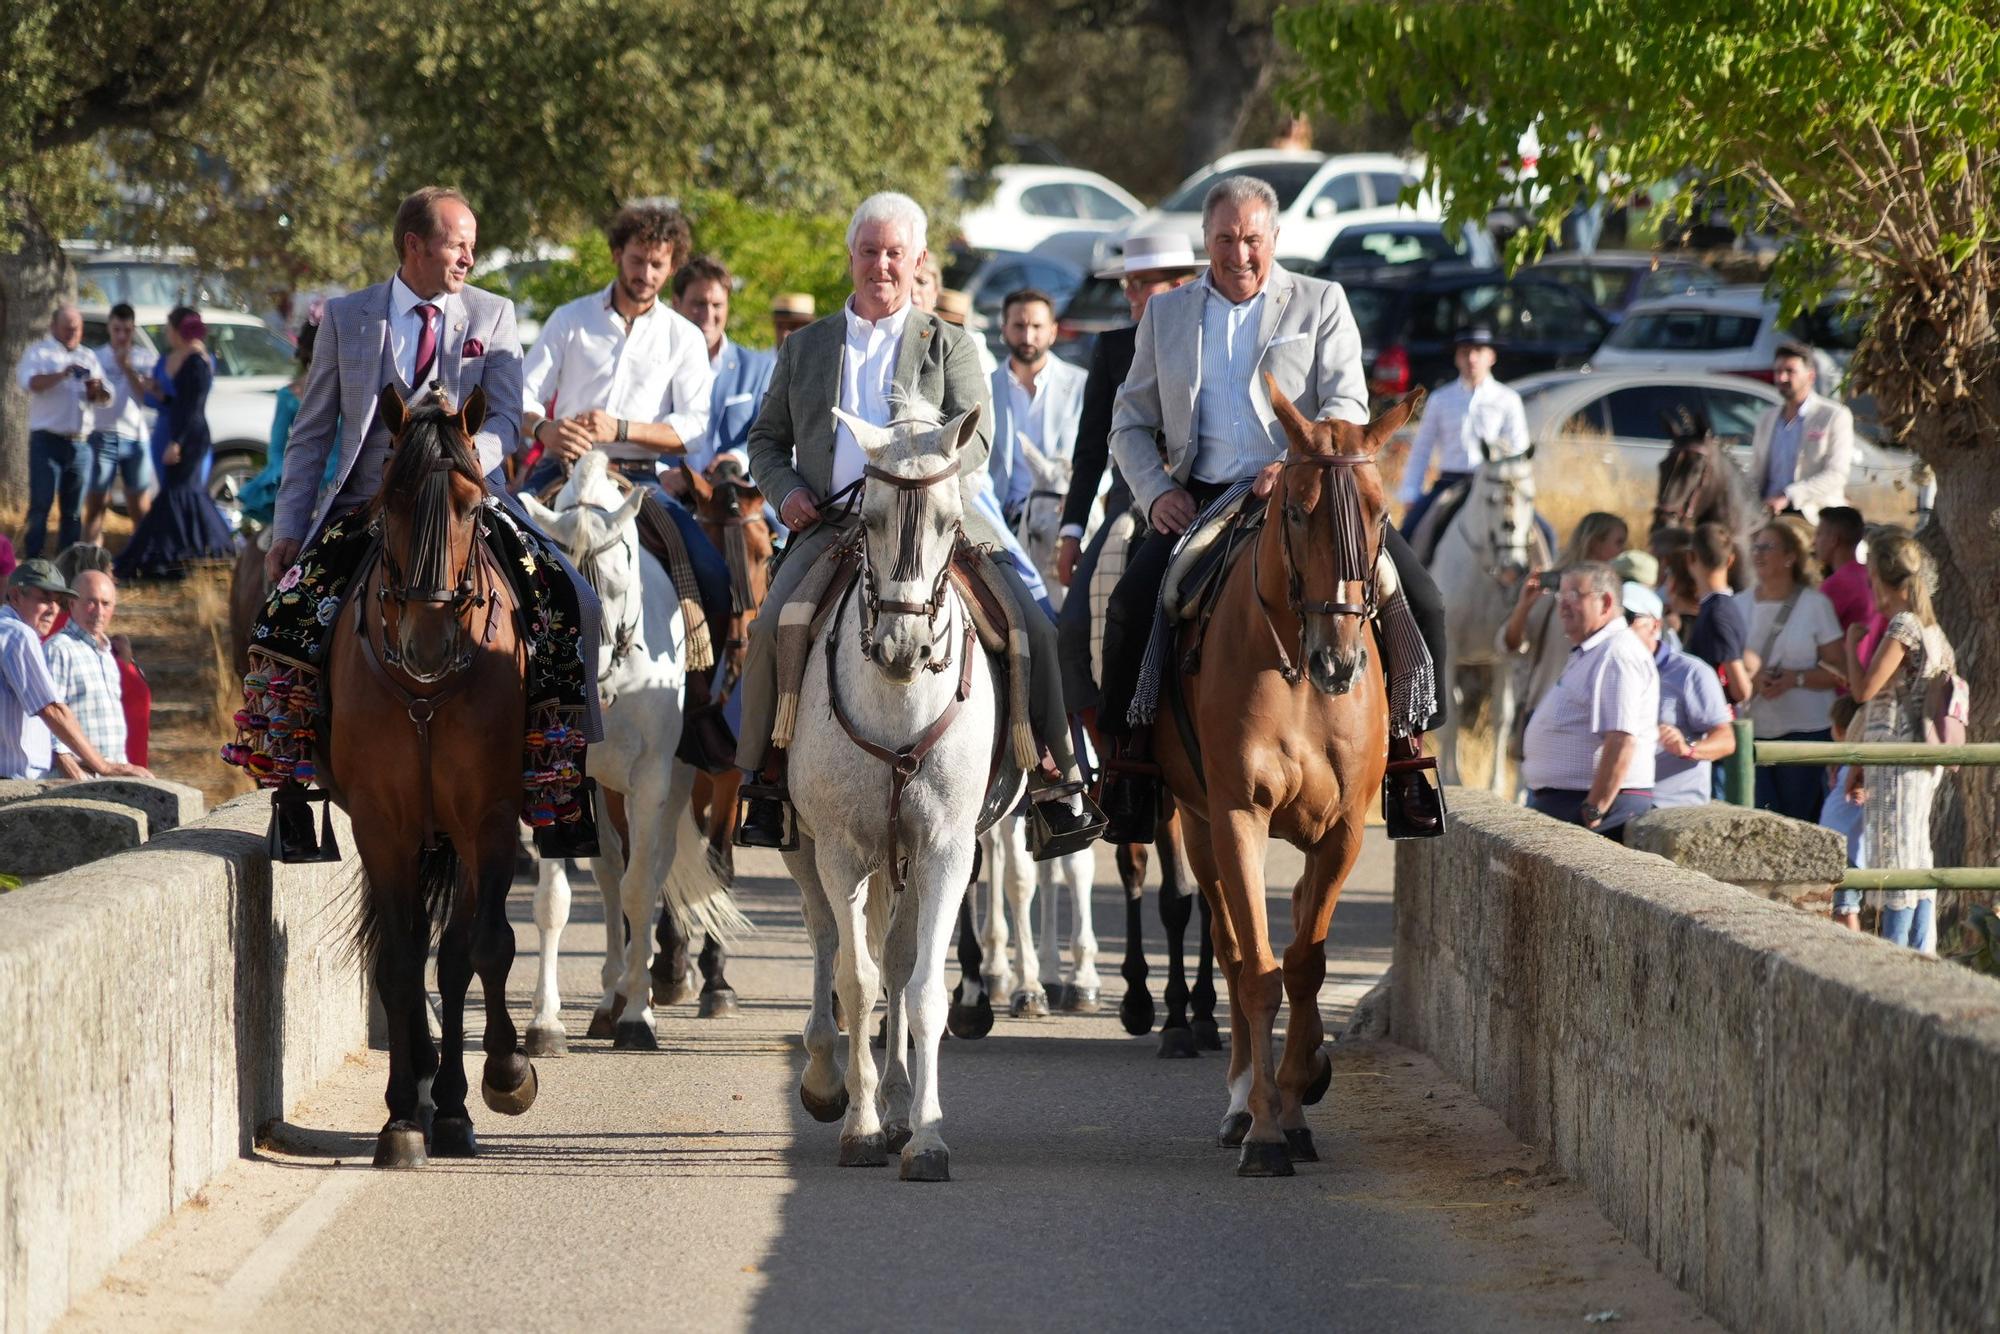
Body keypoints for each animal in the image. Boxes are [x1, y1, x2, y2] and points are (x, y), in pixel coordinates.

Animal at [332, 386, 544, 1168]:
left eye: (472, 504)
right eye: (388, 498)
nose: (427, 639)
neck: (426, 689)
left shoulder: (488, 817)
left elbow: (477, 948)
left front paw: (495, 1080)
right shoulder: (380, 824)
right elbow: (399, 959)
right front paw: (400, 1117)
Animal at [520, 454, 748, 1056]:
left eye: (617, 585)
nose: (586, 693)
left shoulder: (651, 781)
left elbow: (642, 888)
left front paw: (638, 1018)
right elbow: (555, 899)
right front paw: (545, 1023)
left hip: (680, 779)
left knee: (652, 865)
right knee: (608, 873)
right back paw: (609, 997)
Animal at [788, 396, 1024, 1176]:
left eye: (950, 521)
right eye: (868, 520)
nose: (904, 648)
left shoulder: (946, 850)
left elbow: (919, 993)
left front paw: (924, 1135)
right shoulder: (838, 849)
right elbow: (856, 985)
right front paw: (860, 1126)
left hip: (911, 860)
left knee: (895, 959)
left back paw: (894, 1101)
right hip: (810, 851)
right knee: (828, 941)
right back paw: (828, 1080)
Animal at [1160, 378, 1424, 1176]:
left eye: (1379, 513)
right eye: (1299, 510)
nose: (1339, 661)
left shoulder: (1342, 830)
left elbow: (1307, 962)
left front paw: (1303, 1091)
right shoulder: (1237, 817)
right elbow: (1258, 968)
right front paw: (1267, 1130)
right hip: (1198, 827)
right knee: (1229, 945)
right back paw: (1243, 1104)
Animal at [1424, 444, 1544, 792]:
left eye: (1529, 497)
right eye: (1489, 499)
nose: (1513, 567)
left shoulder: (1506, 654)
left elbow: (1503, 717)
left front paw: (1494, 786)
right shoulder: (1447, 651)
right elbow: (1449, 714)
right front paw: (1452, 779)